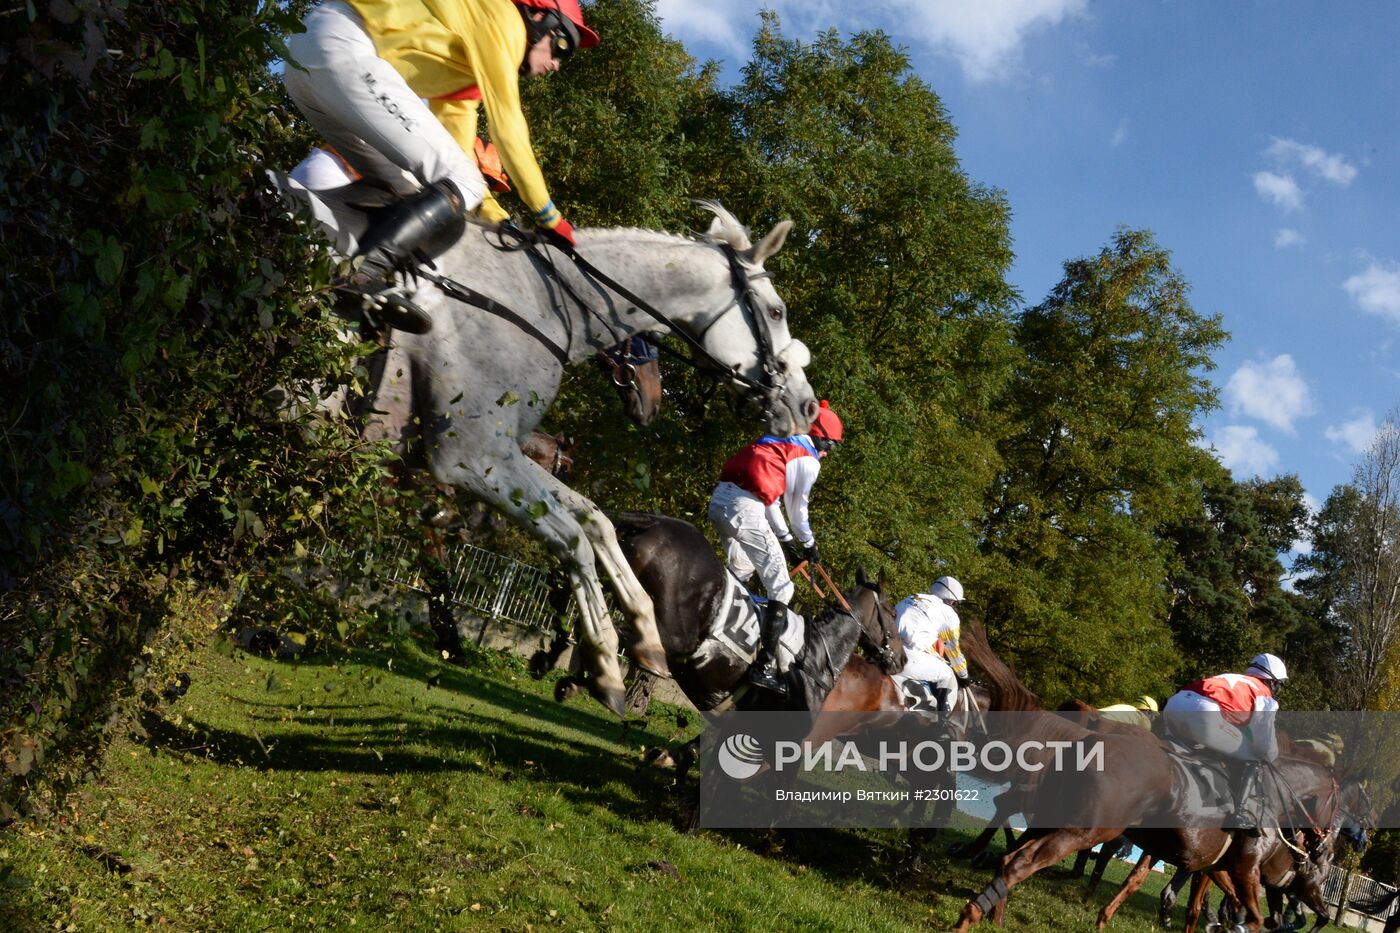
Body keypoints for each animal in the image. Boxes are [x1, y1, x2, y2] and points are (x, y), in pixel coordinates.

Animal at [270, 174, 817, 711]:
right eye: (776, 311)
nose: (806, 406)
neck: (535, 299)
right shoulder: (472, 458)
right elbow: (571, 537)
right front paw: (605, 665)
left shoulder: (496, 455)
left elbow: (594, 522)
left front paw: (643, 633)